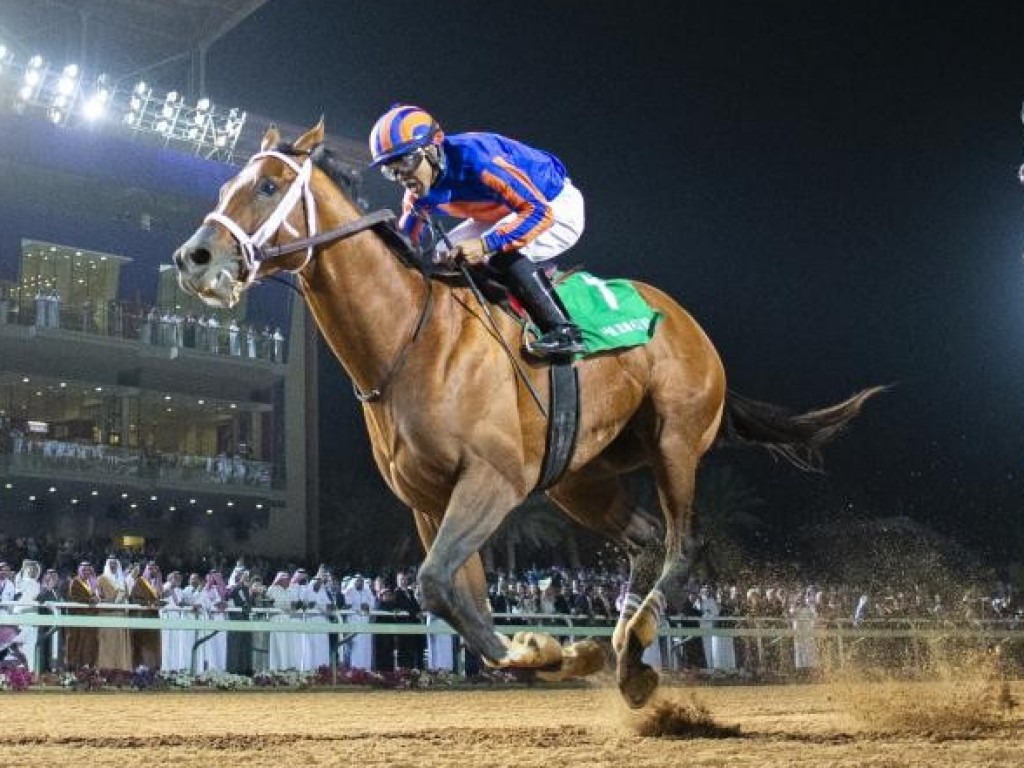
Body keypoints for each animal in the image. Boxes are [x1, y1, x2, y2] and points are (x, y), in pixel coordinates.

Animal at [172, 121, 884, 708]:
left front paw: (546, 652)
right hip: (581, 478)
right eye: (227, 184)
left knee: (683, 543)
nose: (192, 258)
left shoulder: (494, 480)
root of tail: (685, 322)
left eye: (267, 185)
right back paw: (626, 652)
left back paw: (638, 637)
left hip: (675, 442)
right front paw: (549, 652)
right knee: (645, 540)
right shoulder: (429, 502)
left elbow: (435, 586)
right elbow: (459, 597)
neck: (410, 340)